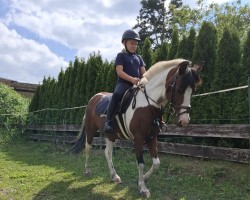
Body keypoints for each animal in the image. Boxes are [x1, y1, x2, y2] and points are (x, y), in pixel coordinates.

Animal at [71, 58, 203, 198]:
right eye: (178, 89)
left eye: (193, 90)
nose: (184, 121)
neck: (148, 105)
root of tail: (94, 97)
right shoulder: (138, 138)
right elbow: (140, 163)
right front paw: (143, 188)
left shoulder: (152, 137)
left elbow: (156, 163)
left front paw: (144, 179)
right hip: (90, 130)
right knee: (88, 148)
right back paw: (87, 171)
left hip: (110, 135)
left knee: (108, 153)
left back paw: (115, 176)